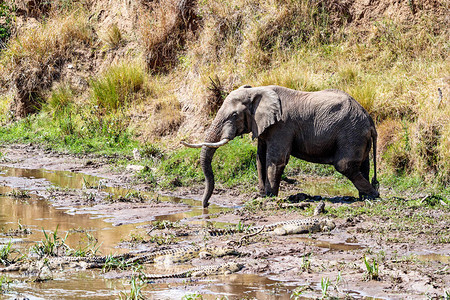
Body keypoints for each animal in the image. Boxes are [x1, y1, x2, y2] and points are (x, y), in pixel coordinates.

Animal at [181, 84, 378, 206]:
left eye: (234, 115)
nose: (205, 205)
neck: (258, 91)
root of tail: (370, 121)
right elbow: (260, 159)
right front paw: (260, 197)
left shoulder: (282, 126)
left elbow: (275, 160)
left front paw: (269, 197)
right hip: (357, 136)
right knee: (363, 165)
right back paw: (364, 197)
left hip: (351, 133)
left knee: (345, 165)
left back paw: (374, 196)